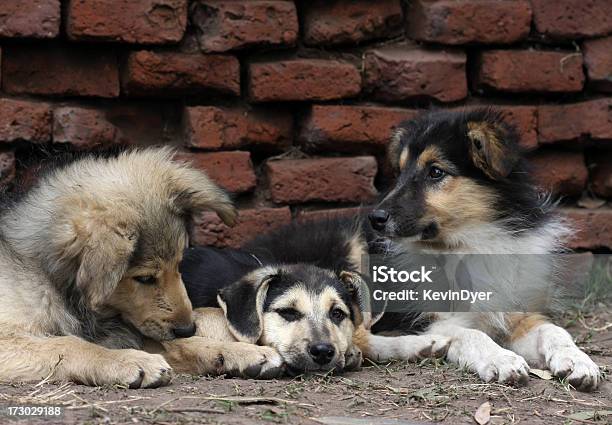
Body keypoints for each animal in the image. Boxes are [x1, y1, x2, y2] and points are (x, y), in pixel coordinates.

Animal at [0, 148, 282, 388]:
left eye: (179, 263)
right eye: (145, 278)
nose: (187, 328)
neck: (45, 273)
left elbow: (180, 345)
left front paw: (240, 352)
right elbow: (70, 344)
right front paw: (126, 360)